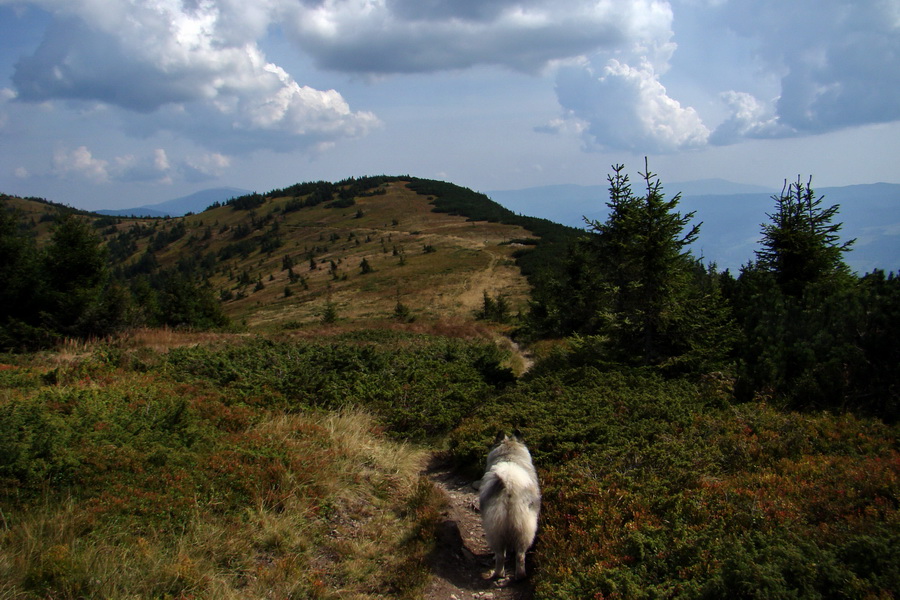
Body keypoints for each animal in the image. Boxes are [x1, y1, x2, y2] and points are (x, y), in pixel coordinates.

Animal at [482, 434, 536, 580]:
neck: (509, 454)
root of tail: (509, 484)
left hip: (495, 528)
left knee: (501, 555)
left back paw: (499, 574)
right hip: (525, 528)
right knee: (520, 555)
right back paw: (520, 576)